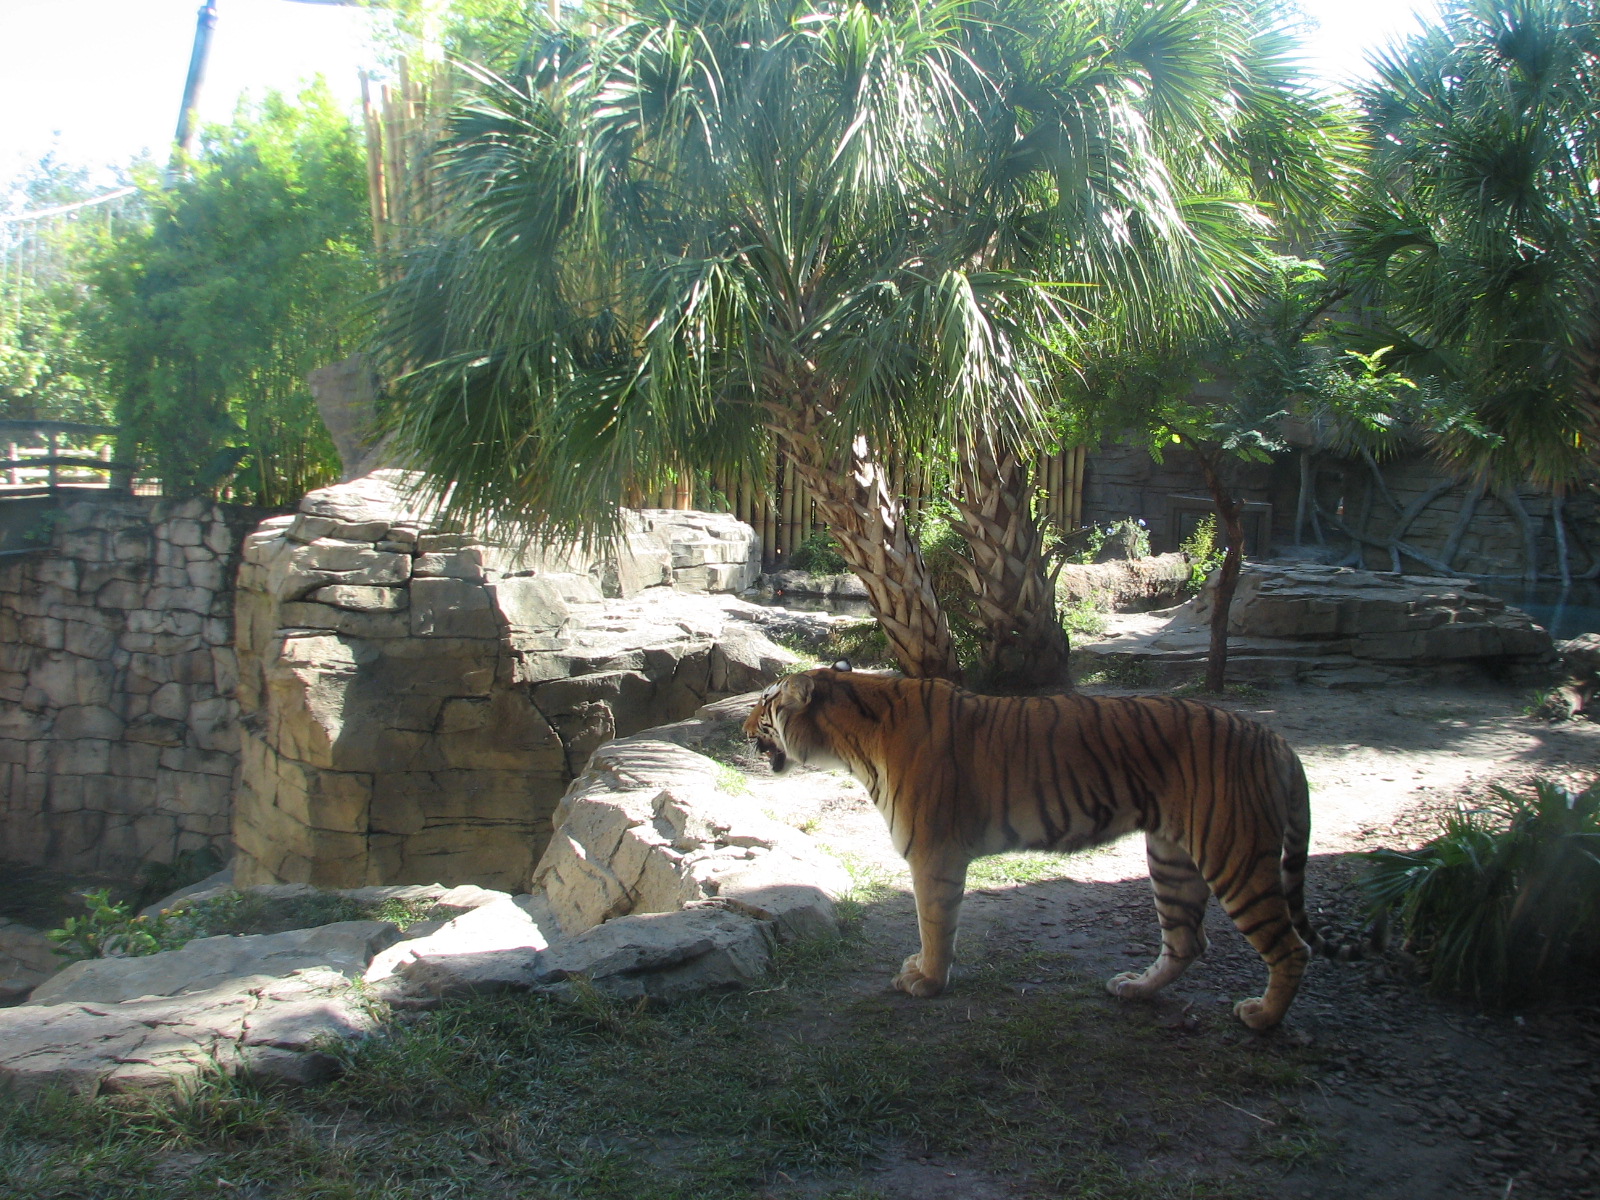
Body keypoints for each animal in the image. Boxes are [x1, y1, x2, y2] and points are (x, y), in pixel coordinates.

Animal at [743, 663, 1317, 1030]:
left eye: (765, 704)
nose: (743, 727)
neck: (852, 740)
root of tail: (1276, 741)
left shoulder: (932, 854)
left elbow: (935, 923)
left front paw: (927, 980)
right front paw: (923, 972)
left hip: (1234, 856)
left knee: (1291, 947)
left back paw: (1262, 1018)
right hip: (1173, 859)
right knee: (1187, 941)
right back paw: (1133, 988)